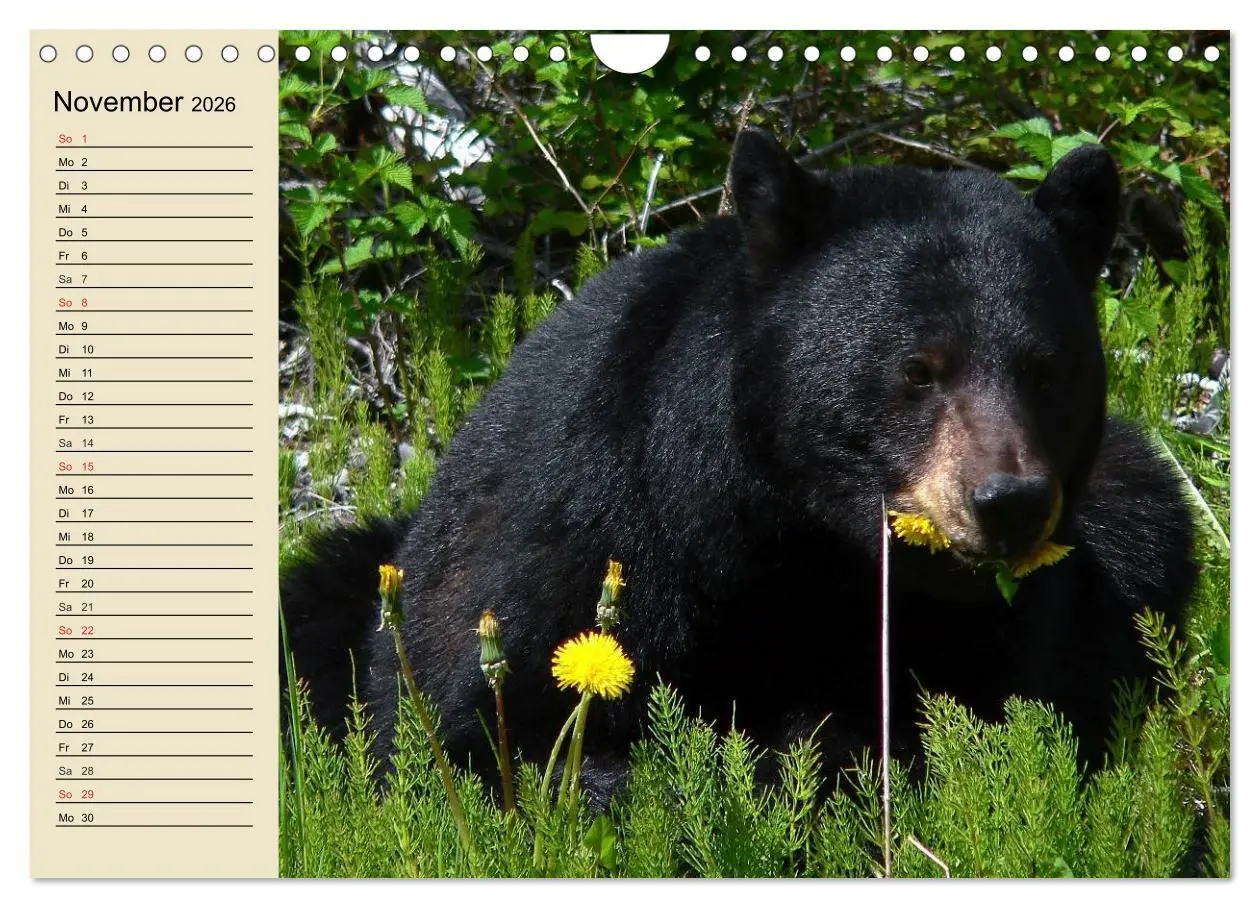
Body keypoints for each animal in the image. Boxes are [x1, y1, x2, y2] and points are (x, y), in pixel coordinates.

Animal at [281, 128, 1197, 803]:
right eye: (919, 368)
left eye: (1045, 368)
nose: (1008, 500)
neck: (792, 538)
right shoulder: (585, 521)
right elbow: (486, 733)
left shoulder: (994, 625)